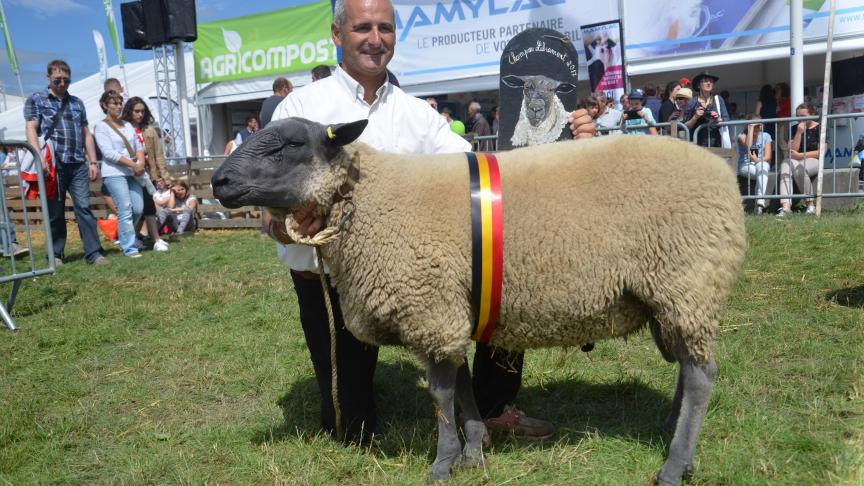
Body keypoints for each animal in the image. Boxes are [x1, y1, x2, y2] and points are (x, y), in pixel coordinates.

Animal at [213, 118, 744, 486]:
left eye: (289, 145)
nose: (218, 182)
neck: (369, 200)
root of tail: (722, 168)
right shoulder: (449, 310)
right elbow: (462, 388)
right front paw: (473, 452)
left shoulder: (429, 307)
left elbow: (440, 394)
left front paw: (443, 462)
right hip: (674, 296)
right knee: (688, 368)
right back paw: (674, 434)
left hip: (687, 280)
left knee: (702, 376)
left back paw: (674, 464)